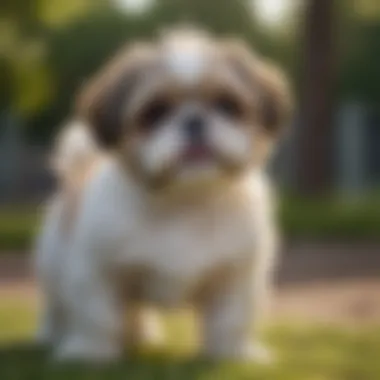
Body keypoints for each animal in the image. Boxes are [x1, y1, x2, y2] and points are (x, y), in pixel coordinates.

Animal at [35, 27, 290, 362]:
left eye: (227, 105)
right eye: (155, 112)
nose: (194, 120)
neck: (183, 203)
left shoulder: (237, 275)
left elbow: (232, 318)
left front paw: (234, 354)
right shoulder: (96, 270)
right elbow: (97, 314)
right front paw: (90, 351)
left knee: (133, 314)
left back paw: (140, 336)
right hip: (54, 264)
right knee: (58, 307)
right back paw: (50, 335)